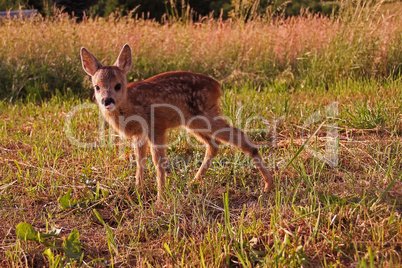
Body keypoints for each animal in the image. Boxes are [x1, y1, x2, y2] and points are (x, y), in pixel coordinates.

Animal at [79, 44, 274, 200]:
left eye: (118, 85)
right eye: (97, 87)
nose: (107, 100)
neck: (131, 105)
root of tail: (217, 86)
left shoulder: (156, 125)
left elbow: (158, 163)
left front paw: (160, 200)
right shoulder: (139, 135)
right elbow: (140, 161)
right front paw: (138, 191)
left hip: (204, 116)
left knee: (240, 137)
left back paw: (268, 185)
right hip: (193, 122)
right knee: (214, 144)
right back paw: (194, 182)